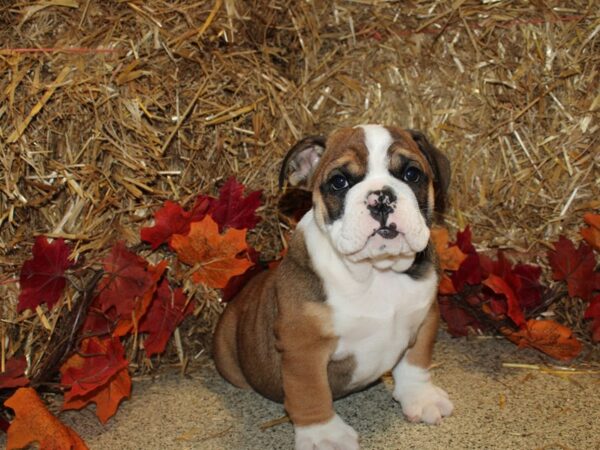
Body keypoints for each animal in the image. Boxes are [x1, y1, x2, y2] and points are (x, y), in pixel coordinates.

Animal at [213, 124, 452, 450]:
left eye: (412, 174)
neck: (376, 272)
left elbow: (416, 362)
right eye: (339, 181)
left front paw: (420, 396)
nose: (381, 197)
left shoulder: (426, 316)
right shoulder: (303, 346)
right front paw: (323, 435)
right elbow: (310, 392)